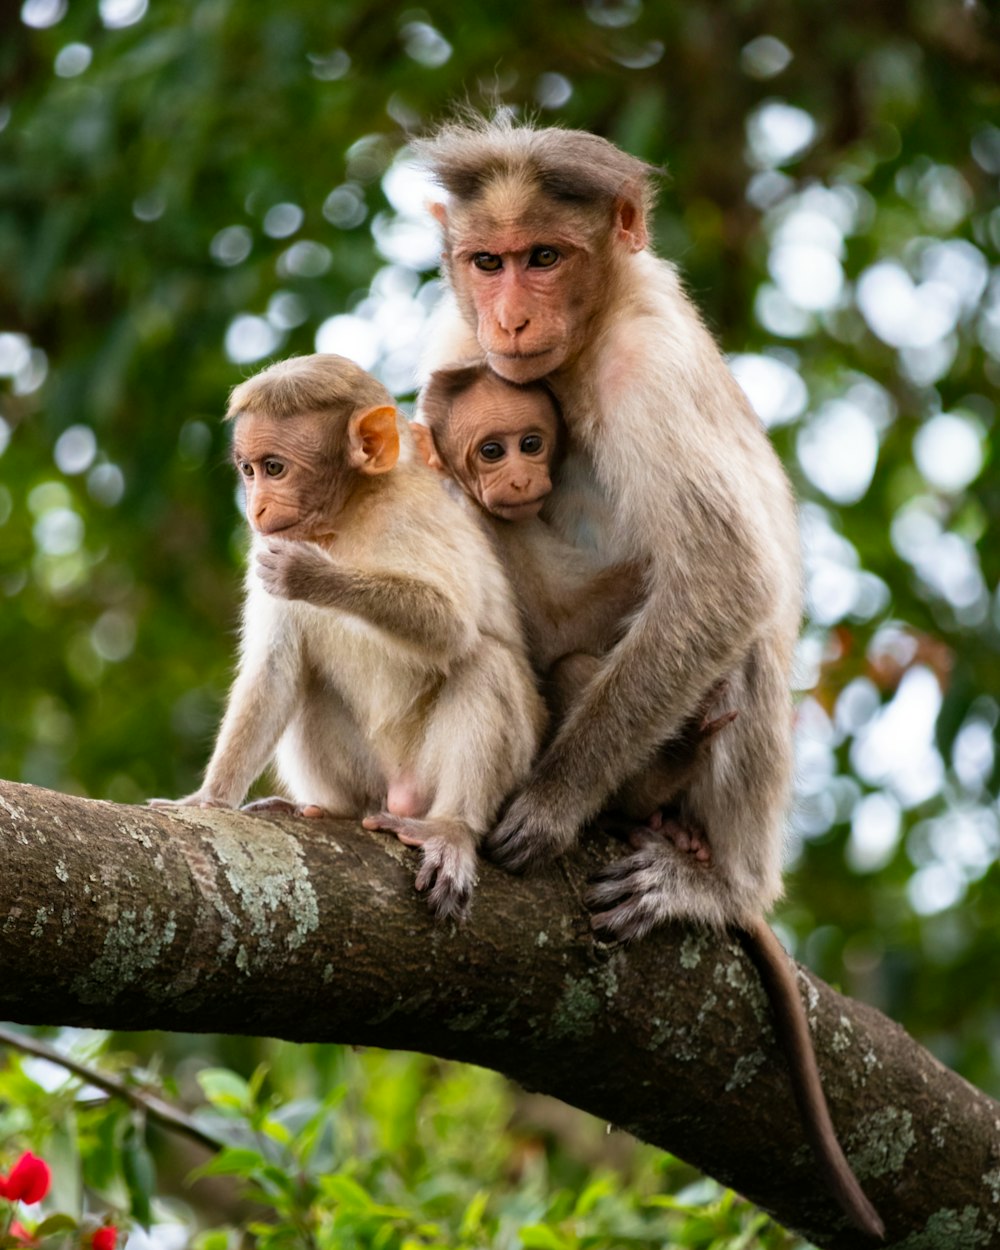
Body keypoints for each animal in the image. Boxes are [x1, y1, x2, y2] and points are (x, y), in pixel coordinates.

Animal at [150, 352, 547, 920]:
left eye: (275, 468)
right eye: (248, 470)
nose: (256, 508)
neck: (347, 516)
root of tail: (399, 794)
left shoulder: (411, 514)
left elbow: (451, 625)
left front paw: (312, 575)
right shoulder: (265, 547)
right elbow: (273, 671)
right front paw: (210, 799)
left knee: (484, 661)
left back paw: (451, 828)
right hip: (370, 779)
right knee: (307, 684)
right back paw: (331, 810)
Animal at [415, 362, 735, 835]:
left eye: (530, 444)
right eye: (491, 451)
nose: (520, 478)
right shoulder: (487, 522)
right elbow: (556, 630)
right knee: (569, 666)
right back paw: (653, 785)